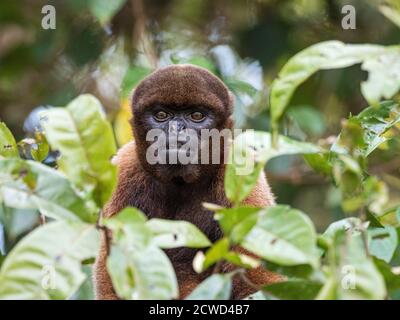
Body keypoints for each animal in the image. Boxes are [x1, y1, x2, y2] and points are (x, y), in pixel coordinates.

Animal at [94, 63, 282, 298]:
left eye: (196, 116)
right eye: (162, 115)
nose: (176, 129)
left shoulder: (240, 171)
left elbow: (256, 278)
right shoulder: (124, 170)